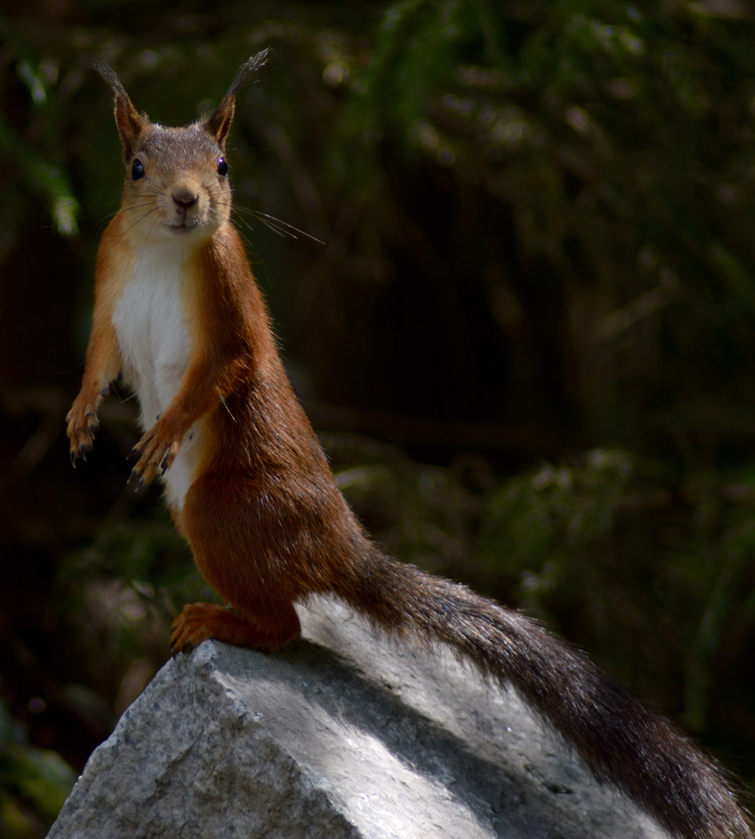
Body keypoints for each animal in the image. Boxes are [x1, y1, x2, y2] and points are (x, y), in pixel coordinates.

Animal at [68, 54, 752, 839]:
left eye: (222, 164)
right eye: (137, 166)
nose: (187, 201)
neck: (162, 249)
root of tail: (339, 550)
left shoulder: (229, 299)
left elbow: (225, 370)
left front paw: (164, 430)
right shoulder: (108, 277)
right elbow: (100, 358)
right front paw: (80, 417)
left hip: (220, 509)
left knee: (287, 623)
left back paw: (217, 618)